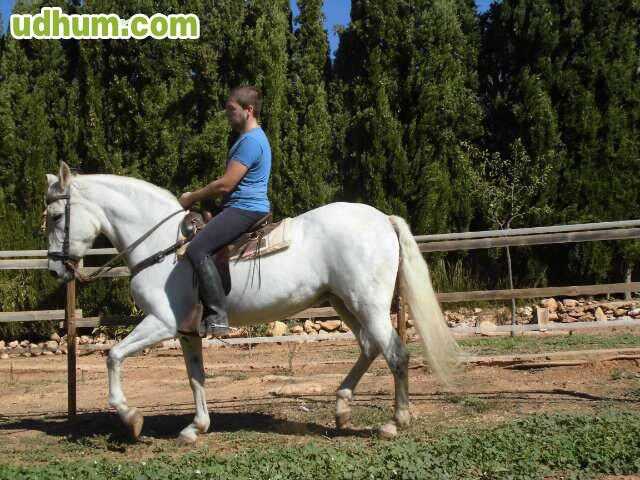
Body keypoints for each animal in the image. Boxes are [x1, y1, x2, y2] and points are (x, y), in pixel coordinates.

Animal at [43, 161, 459, 443]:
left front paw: (131, 418)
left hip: (367, 304)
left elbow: (113, 356)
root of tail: (382, 219)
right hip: (344, 302)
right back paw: (342, 409)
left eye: (56, 215)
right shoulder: (186, 331)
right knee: (371, 347)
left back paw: (394, 422)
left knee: (396, 354)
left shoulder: (160, 322)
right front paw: (196, 427)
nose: (55, 269)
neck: (163, 246)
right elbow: (196, 377)